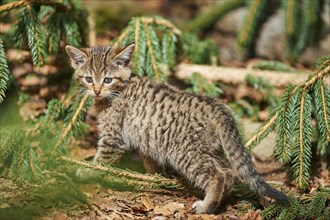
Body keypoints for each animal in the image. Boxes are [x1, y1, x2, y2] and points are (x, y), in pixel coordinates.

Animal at [65, 43, 288, 214]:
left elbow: (101, 159)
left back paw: (206, 207)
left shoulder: (114, 137)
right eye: (88, 79)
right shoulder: (145, 135)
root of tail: (217, 107)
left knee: (217, 175)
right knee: (227, 172)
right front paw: (153, 175)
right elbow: (149, 158)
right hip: (208, 148)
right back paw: (220, 201)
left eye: (108, 80)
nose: (96, 90)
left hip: (185, 152)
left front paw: (86, 170)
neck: (117, 93)